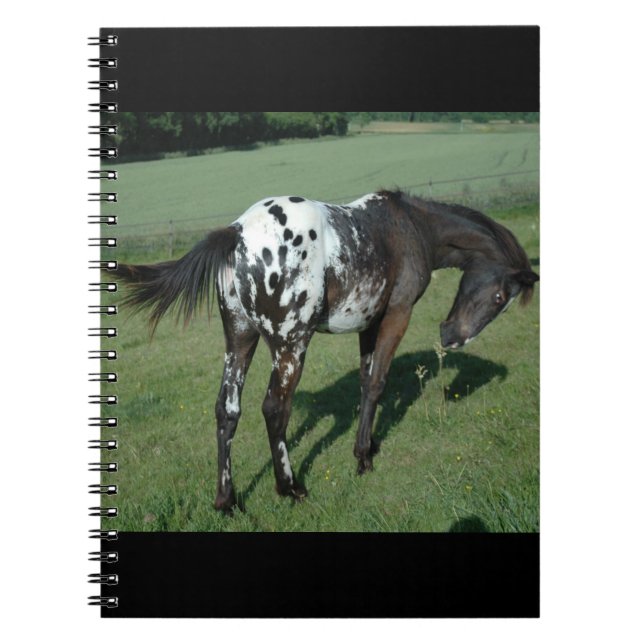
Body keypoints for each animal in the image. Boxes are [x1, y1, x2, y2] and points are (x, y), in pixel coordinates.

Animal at [113, 189, 539, 512]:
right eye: (500, 297)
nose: (451, 337)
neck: (409, 226)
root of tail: (237, 233)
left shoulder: (369, 323)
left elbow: (366, 382)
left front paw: (370, 445)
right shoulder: (397, 315)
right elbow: (377, 382)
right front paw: (363, 458)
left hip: (240, 339)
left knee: (227, 409)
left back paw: (227, 502)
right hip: (291, 345)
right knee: (274, 409)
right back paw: (291, 488)